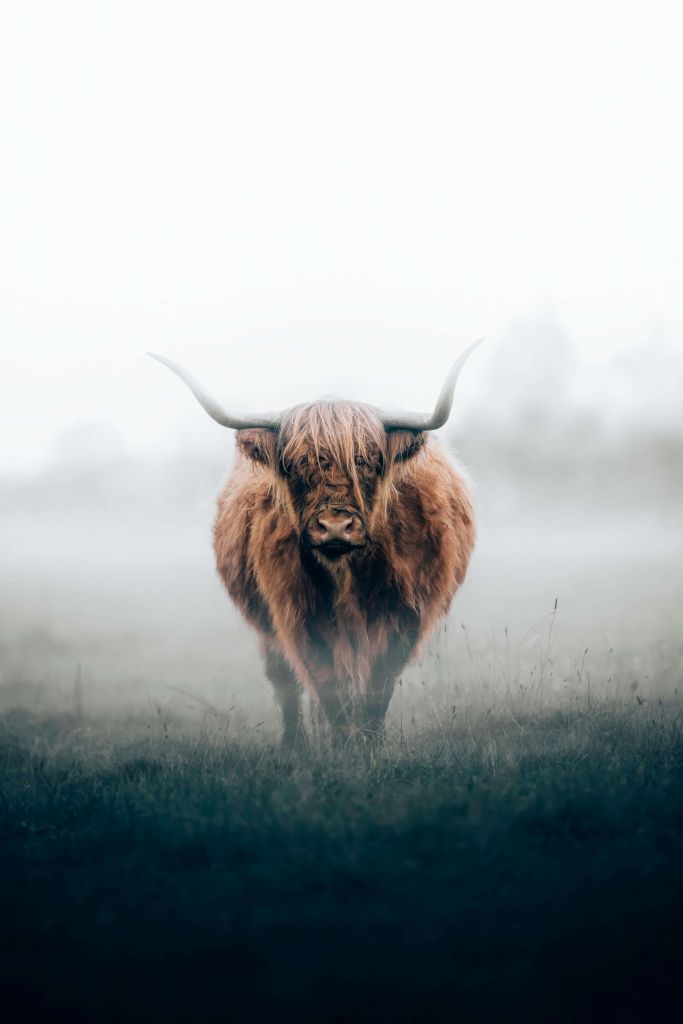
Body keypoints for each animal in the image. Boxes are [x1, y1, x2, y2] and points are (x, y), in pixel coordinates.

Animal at [150, 342, 481, 745]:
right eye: (295, 464)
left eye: (367, 462)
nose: (335, 527)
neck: (348, 573)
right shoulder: (300, 616)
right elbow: (328, 686)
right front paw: (341, 746)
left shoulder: (404, 617)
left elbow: (377, 688)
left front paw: (369, 745)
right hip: (269, 628)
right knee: (285, 681)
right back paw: (294, 744)